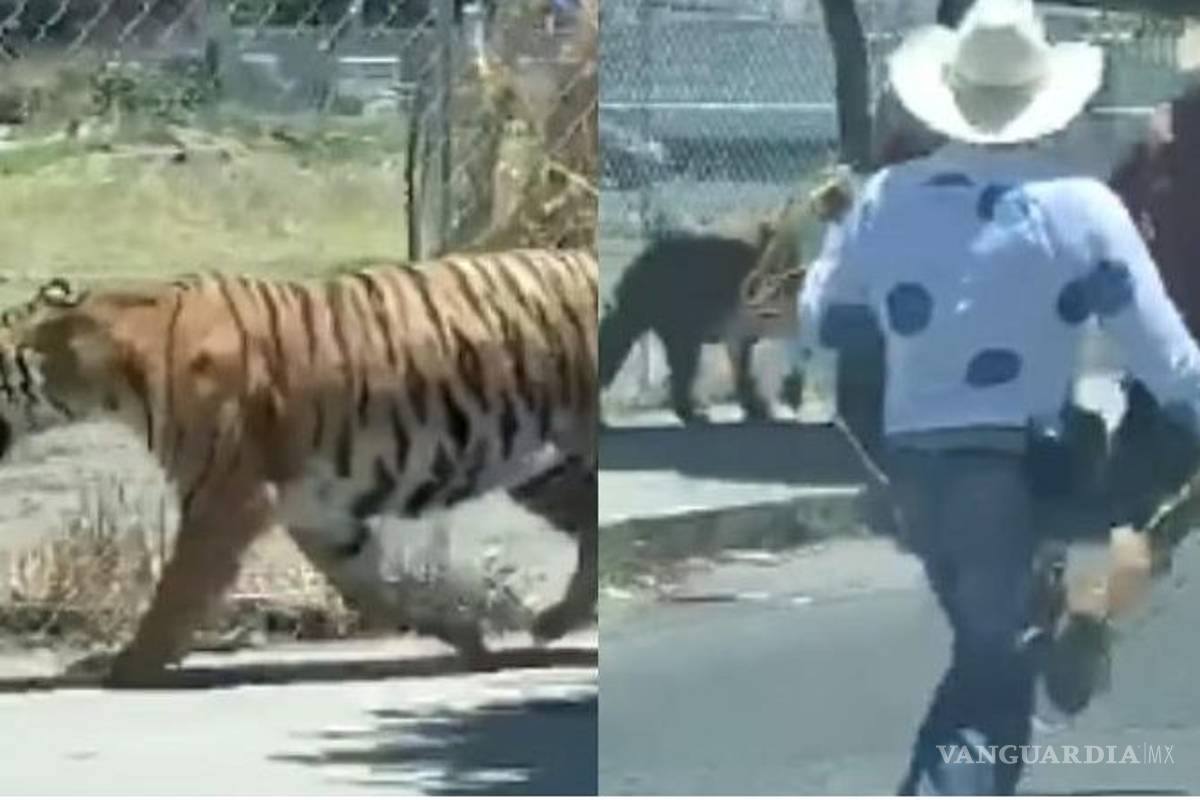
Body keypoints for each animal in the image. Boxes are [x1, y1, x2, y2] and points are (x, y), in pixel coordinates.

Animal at [0, 248, 597, 687]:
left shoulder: (224, 500)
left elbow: (173, 595)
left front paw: (123, 667)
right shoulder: (318, 512)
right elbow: (375, 588)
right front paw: (466, 638)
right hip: (548, 470)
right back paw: (556, 622)